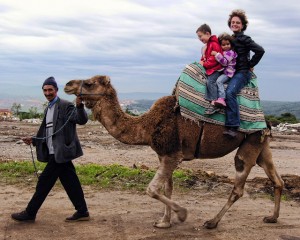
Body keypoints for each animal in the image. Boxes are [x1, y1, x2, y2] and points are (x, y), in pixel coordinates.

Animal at [63, 75, 284, 229]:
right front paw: (164, 221)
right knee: (276, 179)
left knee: (239, 183)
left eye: (89, 83)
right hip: (260, 144)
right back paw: (272, 217)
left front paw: (182, 214)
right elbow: (167, 188)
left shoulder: (172, 155)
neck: (147, 126)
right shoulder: (164, 154)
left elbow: (152, 189)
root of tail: (265, 121)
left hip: (250, 141)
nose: (67, 84)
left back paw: (211, 222)